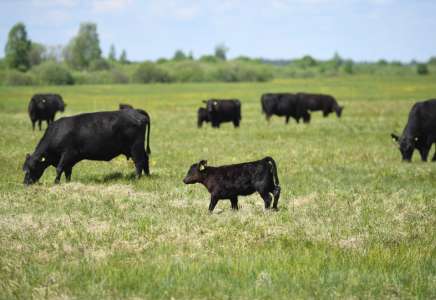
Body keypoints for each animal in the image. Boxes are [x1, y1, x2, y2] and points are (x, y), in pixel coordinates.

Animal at [22, 109, 152, 184]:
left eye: (32, 168)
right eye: (24, 168)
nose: (25, 183)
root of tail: (136, 111)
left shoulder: (67, 153)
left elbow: (59, 168)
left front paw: (56, 182)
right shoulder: (69, 160)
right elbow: (67, 171)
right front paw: (67, 182)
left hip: (135, 146)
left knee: (139, 161)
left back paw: (137, 178)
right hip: (135, 148)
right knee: (145, 158)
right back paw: (147, 175)